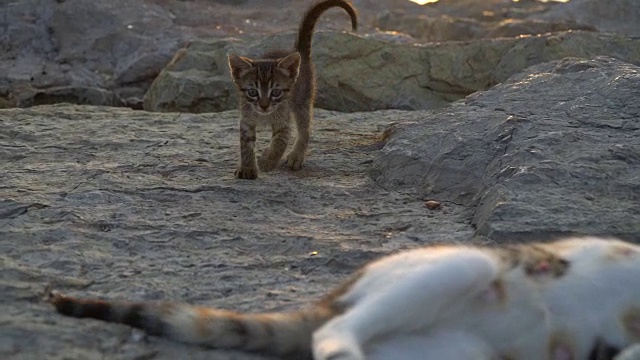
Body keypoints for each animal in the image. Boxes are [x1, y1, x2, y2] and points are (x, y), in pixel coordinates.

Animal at [229, 0, 360, 180]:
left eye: (276, 92)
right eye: (253, 92)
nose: (264, 106)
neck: (265, 116)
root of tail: (297, 53)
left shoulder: (284, 120)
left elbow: (280, 143)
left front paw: (267, 162)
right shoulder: (246, 120)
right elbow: (246, 146)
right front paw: (247, 167)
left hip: (302, 100)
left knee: (306, 129)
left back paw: (296, 155)